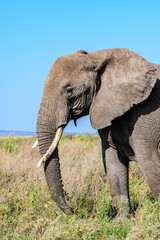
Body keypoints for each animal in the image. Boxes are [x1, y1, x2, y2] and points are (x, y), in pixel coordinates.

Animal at [36, 48, 160, 218]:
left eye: (69, 90)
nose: (72, 211)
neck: (96, 57)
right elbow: (113, 165)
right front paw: (122, 220)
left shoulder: (147, 111)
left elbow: (149, 162)